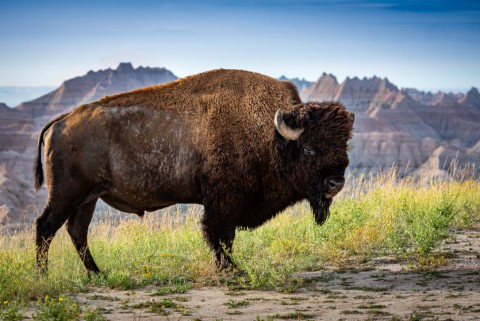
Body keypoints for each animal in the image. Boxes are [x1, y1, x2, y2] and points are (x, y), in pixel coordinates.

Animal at [33, 68, 354, 272]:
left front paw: (227, 266)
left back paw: (98, 274)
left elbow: (224, 237)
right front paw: (230, 268)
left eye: (345, 145)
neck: (270, 136)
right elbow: (218, 235)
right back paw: (43, 276)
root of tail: (61, 121)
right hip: (67, 195)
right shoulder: (222, 202)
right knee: (46, 227)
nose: (335, 183)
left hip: (87, 198)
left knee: (77, 231)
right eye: (309, 149)